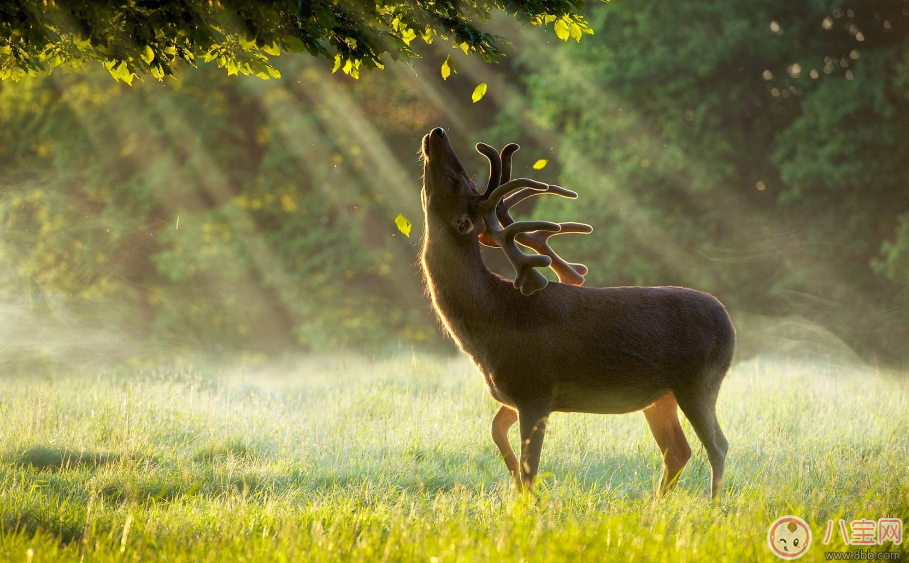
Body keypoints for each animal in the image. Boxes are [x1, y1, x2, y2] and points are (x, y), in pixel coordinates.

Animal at [418, 128, 736, 498]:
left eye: (456, 182)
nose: (438, 133)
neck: (489, 321)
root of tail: (729, 323)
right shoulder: (515, 393)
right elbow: (497, 432)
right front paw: (517, 487)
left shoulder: (535, 388)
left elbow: (530, 467)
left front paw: (526, 501)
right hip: (660, 396)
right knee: (678, 450)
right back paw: (658, 506)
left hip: (699, 380)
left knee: (717, 445)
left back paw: (713, 506)